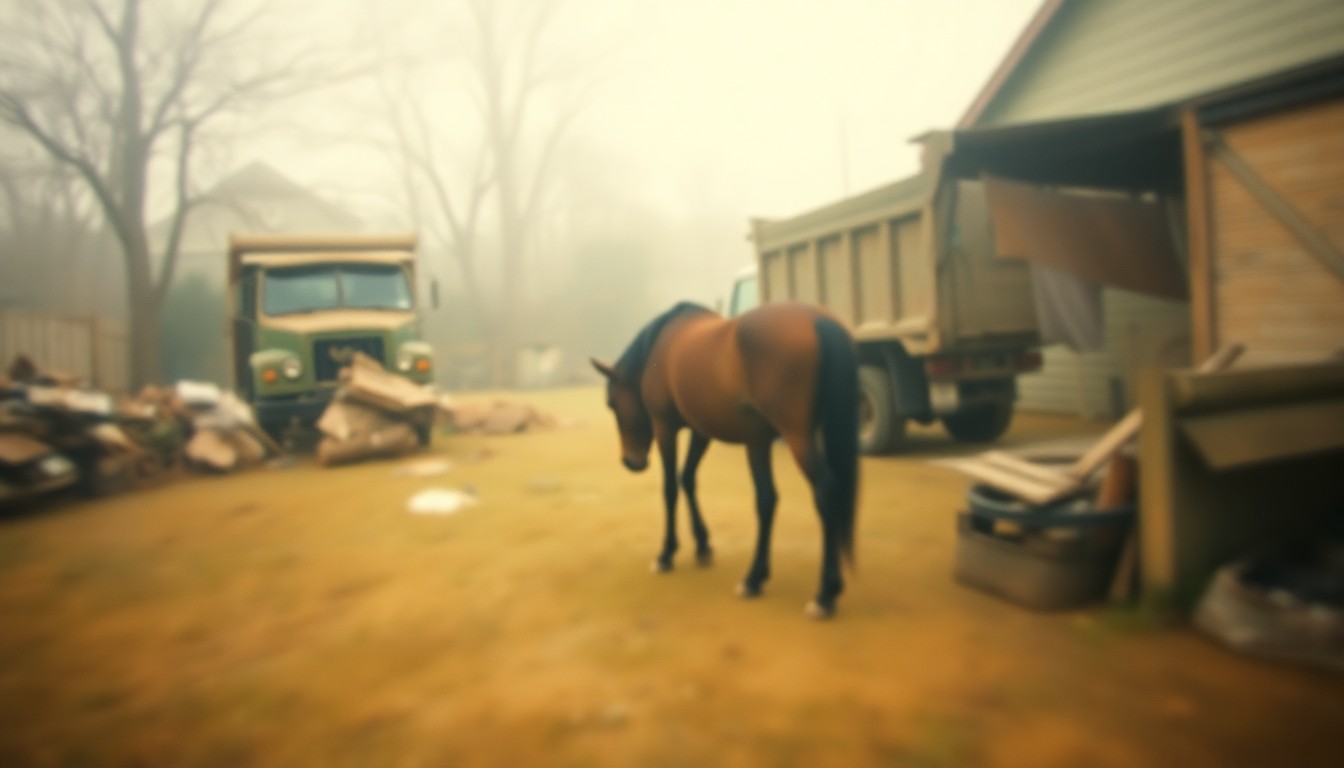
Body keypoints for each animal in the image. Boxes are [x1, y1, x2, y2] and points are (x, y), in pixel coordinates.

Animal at [591, 301, 860, 619]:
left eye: (611, 403)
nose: (631, 462)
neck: (659, 346)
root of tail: (817, 319)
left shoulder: (665, 427)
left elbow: (670, 488)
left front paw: (666, 553)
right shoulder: (701, 431)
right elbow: (687, 479)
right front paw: (703, 545)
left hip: (796, 438)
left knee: (824, 492)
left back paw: (822, 593)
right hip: (764, 440)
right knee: (769, 498)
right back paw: (759, 578)